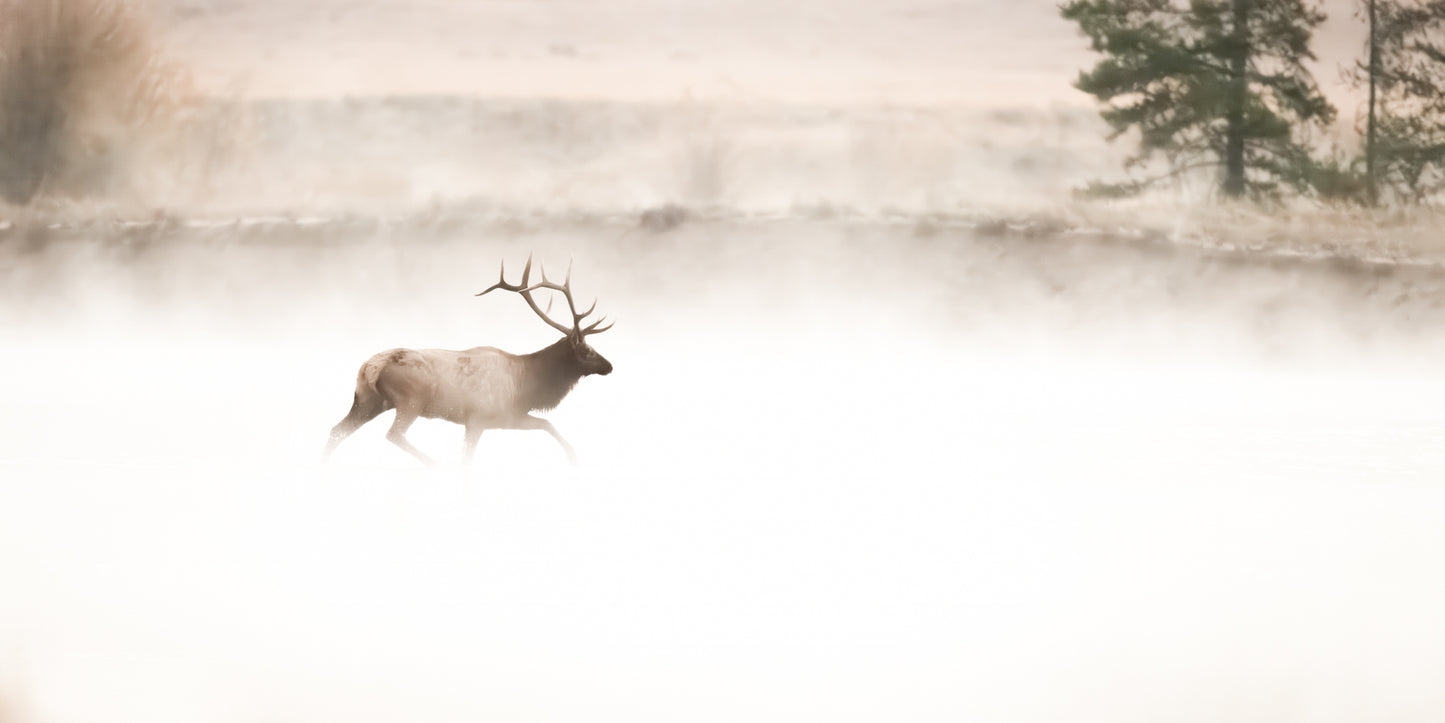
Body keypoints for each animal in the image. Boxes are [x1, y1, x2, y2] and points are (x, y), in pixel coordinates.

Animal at [325, 257, 612, 465]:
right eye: (586, 350)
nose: (609, 366)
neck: (525, 386)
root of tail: (371, 367)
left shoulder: (506, 417)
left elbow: (547, 424)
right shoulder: (479, 418)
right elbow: (468, 458)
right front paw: (574, 458)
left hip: (368, 400)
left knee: (336, 431)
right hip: (412, 398)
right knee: (393, 434)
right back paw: (434, 464)